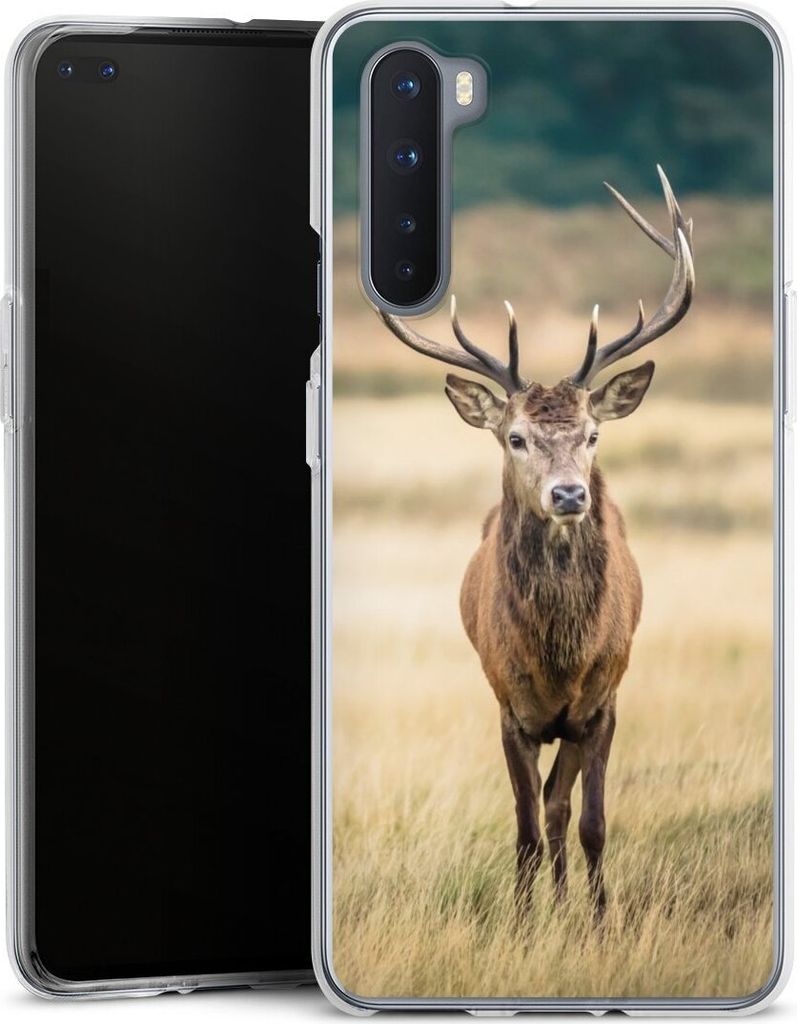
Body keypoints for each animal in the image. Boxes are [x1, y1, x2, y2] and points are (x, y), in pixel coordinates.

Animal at [378, 167, 694, 918]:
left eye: (593, 434)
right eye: (516, 437)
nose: (570, 495)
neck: (559, 657)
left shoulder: (603, 701)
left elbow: (589, 822)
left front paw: (600, 921)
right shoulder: (508, 706)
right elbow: (522, 825)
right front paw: (523, 924)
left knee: (560, 806)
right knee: (542, 809)